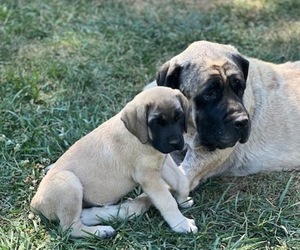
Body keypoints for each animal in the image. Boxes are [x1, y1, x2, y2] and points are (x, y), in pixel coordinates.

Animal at [31, 87, 198, 239]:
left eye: (179, 117)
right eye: (156, 122)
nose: (175, 143)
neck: (142, 139)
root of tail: (35, 203)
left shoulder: (163, 163)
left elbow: (182, 181)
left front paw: (183, 200)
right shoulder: (149, 178)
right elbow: (167, 202)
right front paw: (181, 224)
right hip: (68, 181)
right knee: (70, 228)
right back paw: (101, 231)